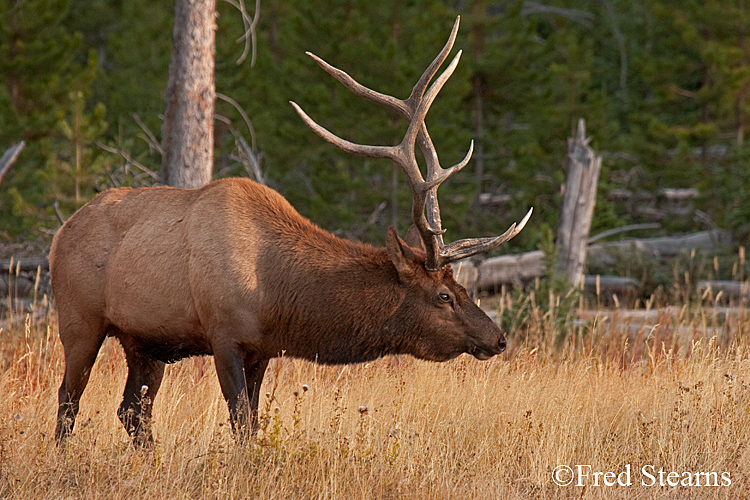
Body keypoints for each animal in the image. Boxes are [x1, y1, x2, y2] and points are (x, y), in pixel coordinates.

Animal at [53, 16, 532, 446]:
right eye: (444, 295)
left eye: (463, 288)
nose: (498, 338)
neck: (275, 291)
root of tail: (63, 231)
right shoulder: (223, 334)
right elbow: (242, 423)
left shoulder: (262, 348)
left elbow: (253, 424)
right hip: (79, 320)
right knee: (68, 402)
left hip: (145, 341)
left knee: (132, 412)